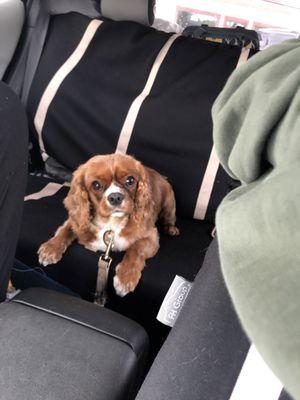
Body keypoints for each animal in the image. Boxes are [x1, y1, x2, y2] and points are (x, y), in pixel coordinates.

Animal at [37, 155, 178, 296]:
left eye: (130, 180)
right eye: (96, 185)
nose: (115, 197)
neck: (111, 224)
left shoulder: (151, 236)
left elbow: (136, 250)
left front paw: (125, 277)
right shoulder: (76, 221)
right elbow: (65, 231)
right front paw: (50, 248)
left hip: (169, 205)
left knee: (170, 218)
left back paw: (171, 229)